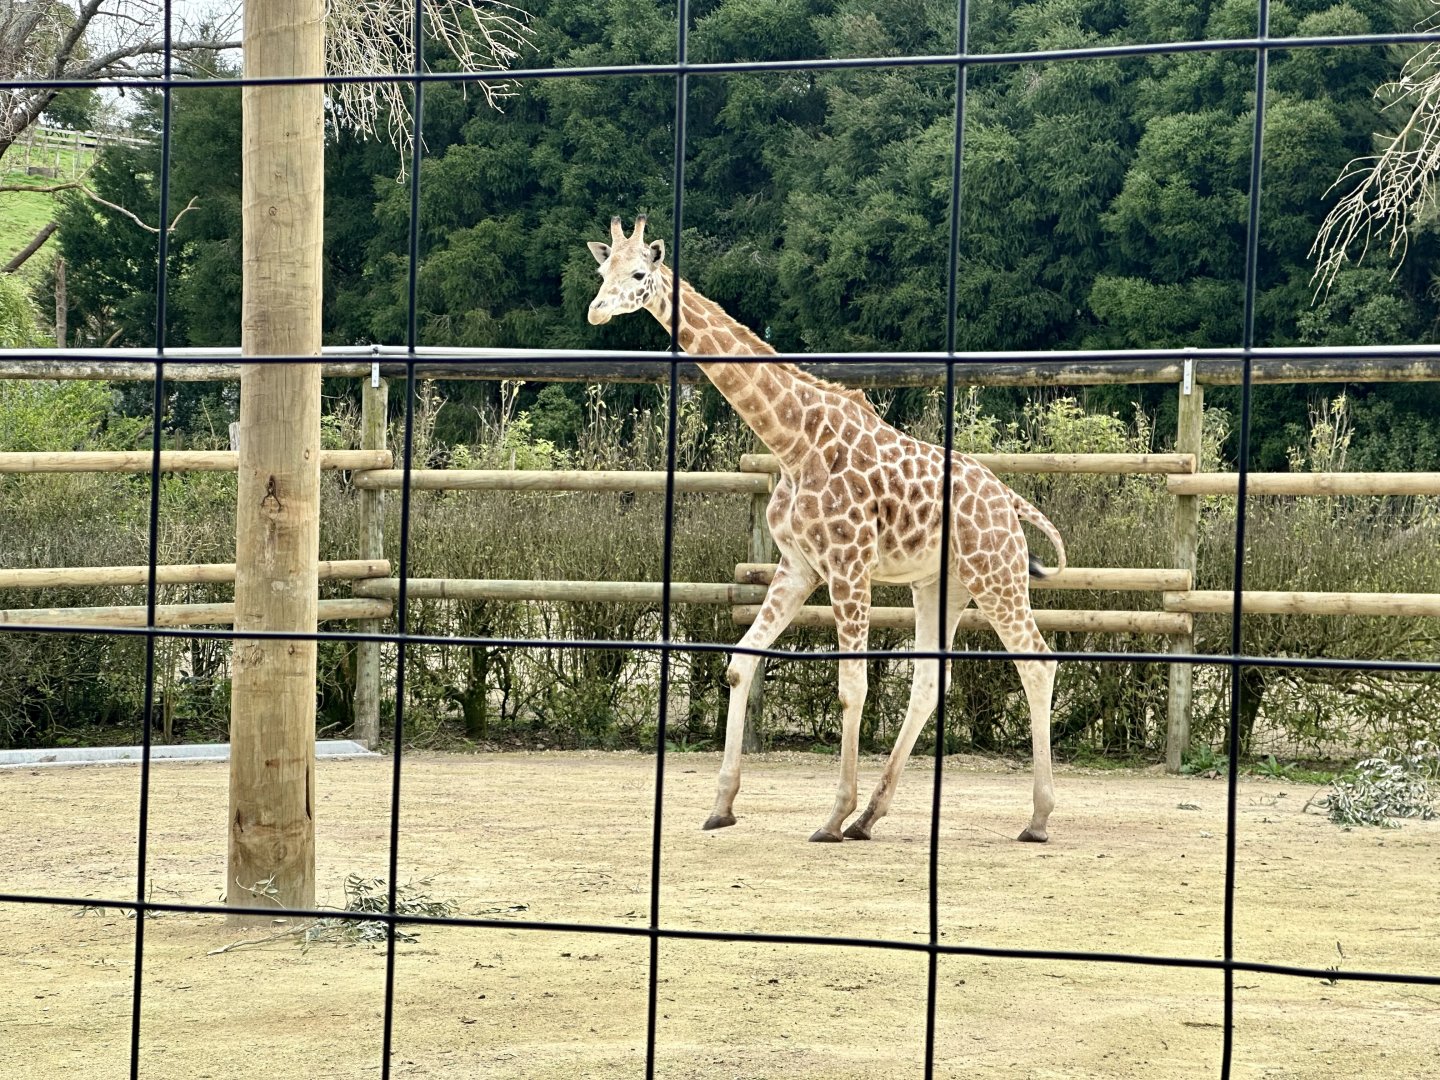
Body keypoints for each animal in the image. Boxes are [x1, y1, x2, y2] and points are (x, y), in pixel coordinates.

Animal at [587, 216, 1067, 843]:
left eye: (640, 273)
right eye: (602, 270)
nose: (596, 310)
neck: (792, 441)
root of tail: (1010, 502)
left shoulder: (848, 564)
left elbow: (852, 686)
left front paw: (832, 814)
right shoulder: (799, 565)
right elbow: (740, 665)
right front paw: (722, 805)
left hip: (998, 576)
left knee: (1038, 662)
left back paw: (1036, 818)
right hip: (942, 586)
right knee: (929, 680)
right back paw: (871, 817)